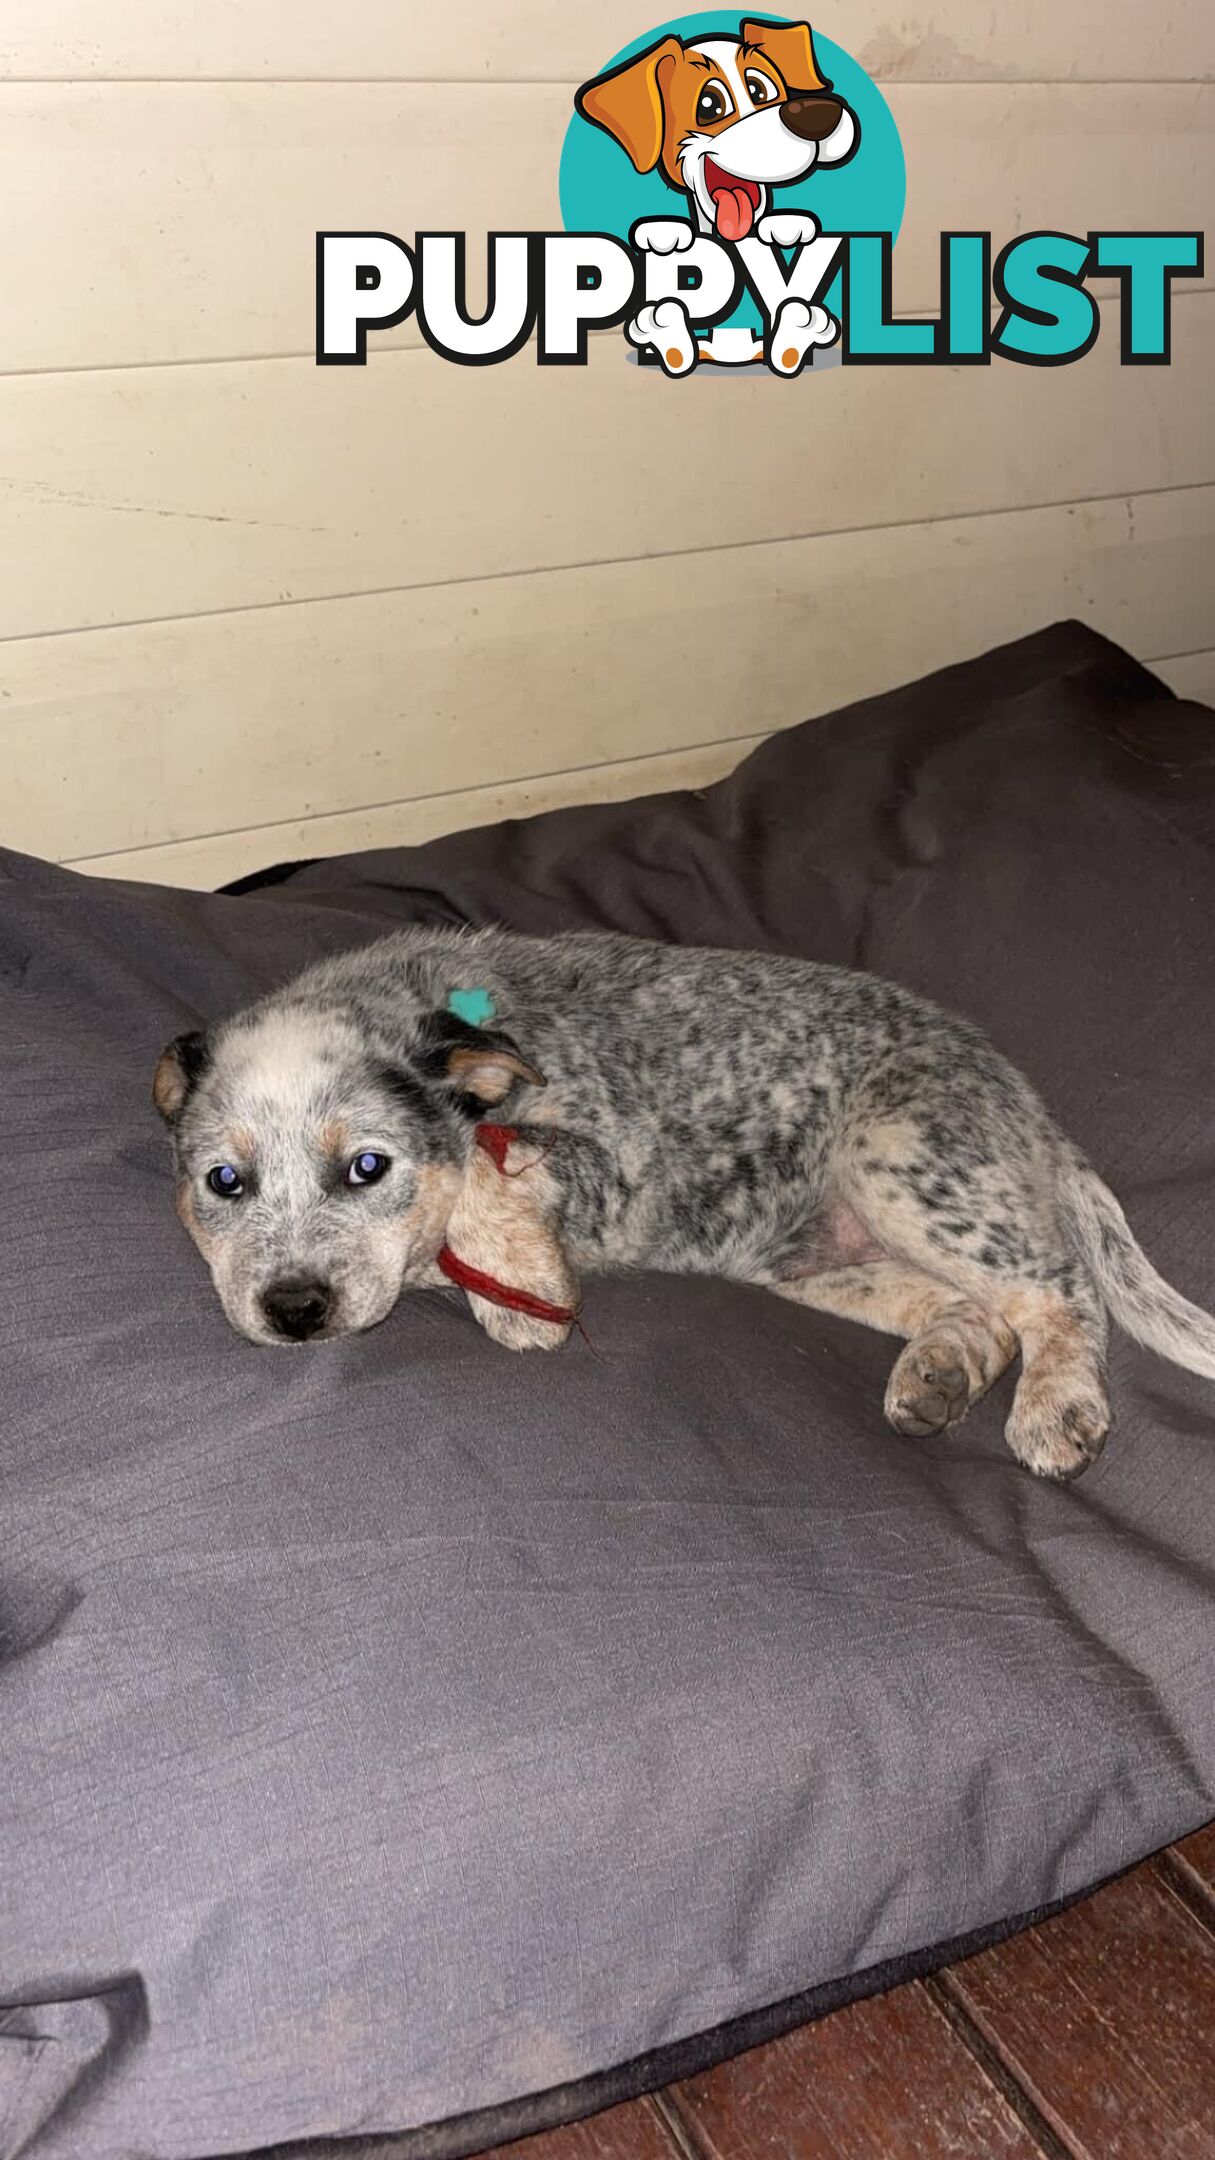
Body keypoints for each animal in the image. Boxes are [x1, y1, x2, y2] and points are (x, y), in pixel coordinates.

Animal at [153, 928, 1210, 1486]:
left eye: (368, 1167)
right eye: (224, 1183)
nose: (294, 1310)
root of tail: (1020, 1095)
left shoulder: (602, 1155)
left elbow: (481, 1187)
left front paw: (515, 1292)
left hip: (904, 1160)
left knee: (1059, 1286)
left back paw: (1058, 1406)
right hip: (818, 1261)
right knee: (981, 1309)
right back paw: (939, 1375)